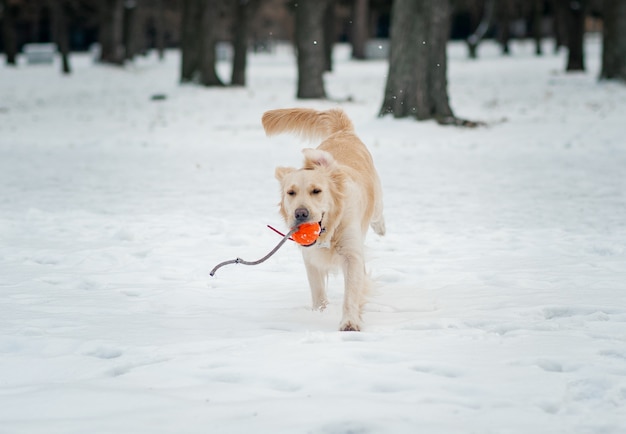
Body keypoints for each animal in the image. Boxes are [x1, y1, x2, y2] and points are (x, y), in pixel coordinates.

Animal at [260, 108, 386, 332]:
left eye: (316, 191)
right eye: (291, 193)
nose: (300, 213)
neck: (330, 230)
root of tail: (343, 132)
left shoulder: (351, 255)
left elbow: (351, 292)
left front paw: (349, 322)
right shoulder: (310, 258)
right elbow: (317, 290)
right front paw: (319, 313)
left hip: (377, 198)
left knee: (378, 213)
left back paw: (381, 227)